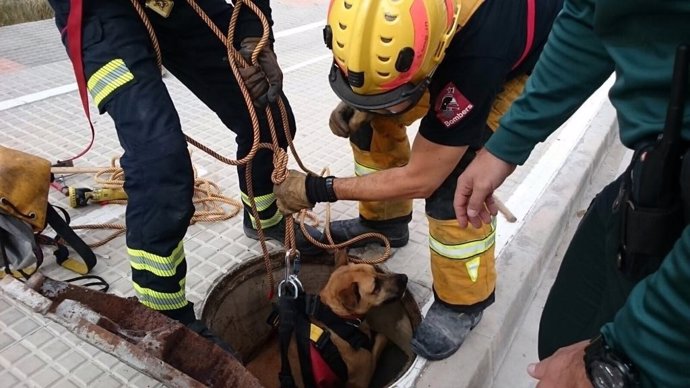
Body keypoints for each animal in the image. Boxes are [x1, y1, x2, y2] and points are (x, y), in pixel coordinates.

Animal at [247, 252, 406, 388]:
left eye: (376, 271)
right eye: (376, 286)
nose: (404, 278)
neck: (337, 317)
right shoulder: (363, 376)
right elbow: (381, 341)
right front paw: (386, 340)